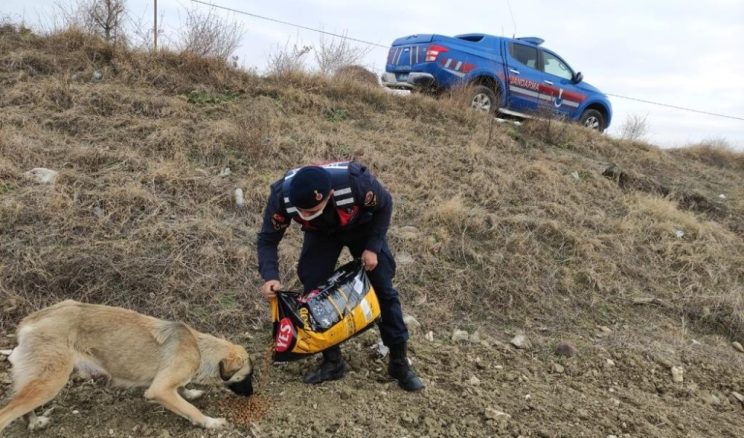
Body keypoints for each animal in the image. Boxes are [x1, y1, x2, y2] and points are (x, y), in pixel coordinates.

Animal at [0, 300, 253, 432]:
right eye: (246, 377)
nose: (252, 395)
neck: (199, 348)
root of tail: (29, 321)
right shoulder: (159, 390)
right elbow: (190, 410)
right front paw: (210, 422)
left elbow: (183, 391)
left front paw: (190, 392)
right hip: (52, 379)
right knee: (8, 411)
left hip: (39, 378)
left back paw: (34, 422)